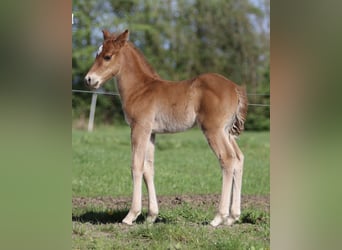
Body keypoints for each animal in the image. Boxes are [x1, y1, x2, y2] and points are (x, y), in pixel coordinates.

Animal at [84, 29, 247, 227]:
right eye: (97, 54)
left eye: (107, 56)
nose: (89, 79)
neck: (140, 89)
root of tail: (235, 88)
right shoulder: (151, 133)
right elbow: (148, 168)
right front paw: (151, 216)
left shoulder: (139, 128)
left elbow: (136, 166)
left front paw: (131, 215)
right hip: (227, 132)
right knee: (239, 159)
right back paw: (232, 217)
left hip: (213, 130)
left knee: (228, 159)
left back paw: (218, 217)